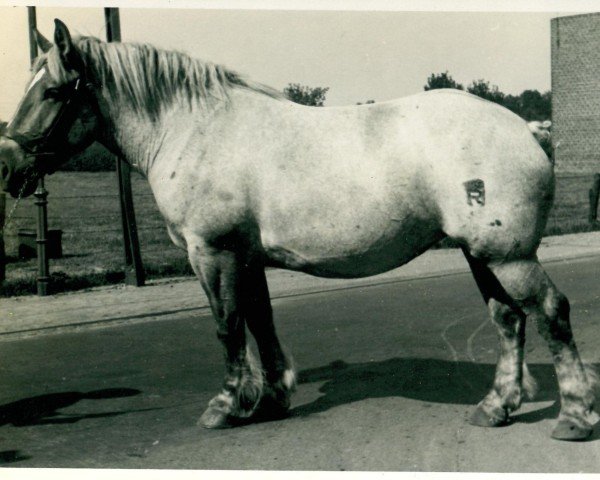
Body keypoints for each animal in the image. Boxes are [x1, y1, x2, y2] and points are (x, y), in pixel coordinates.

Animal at [0, 21, 596, 442]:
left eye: (52, 92)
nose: (8, 168)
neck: (193, 129)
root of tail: (529, 128)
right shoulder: (247, 257)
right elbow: (260, 324)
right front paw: (269, 400)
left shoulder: (212, 253)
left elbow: (227, 326)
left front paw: (226, 405)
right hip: (481, 253)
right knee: (508, 321)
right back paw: (496, 408)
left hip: (508, 255)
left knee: (551, 313)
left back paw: (573, 417)